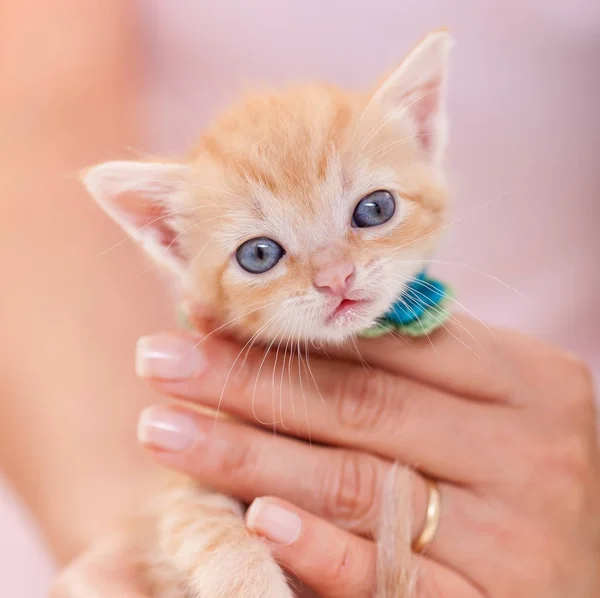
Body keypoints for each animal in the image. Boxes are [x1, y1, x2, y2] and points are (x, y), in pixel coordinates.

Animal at [82, 30, 452, 598]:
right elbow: (207, 529)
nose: (335, 277)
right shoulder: (184, 479)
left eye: (375, 209)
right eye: (259, 254)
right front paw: (248, 577)